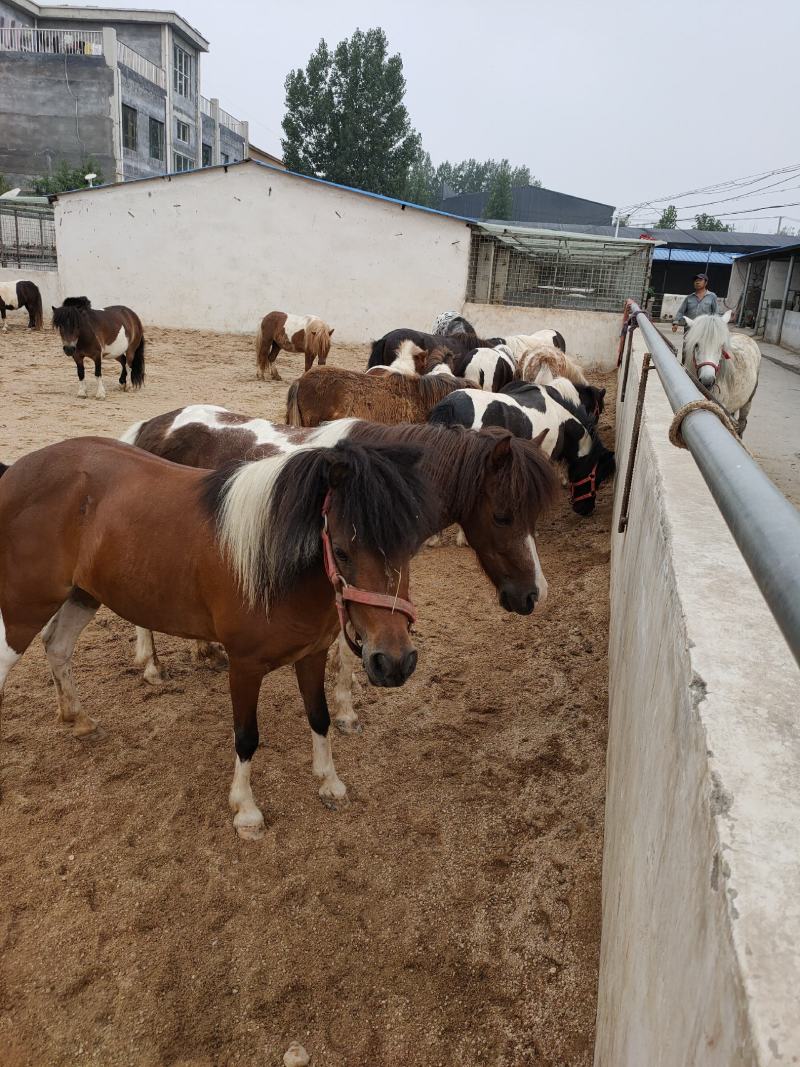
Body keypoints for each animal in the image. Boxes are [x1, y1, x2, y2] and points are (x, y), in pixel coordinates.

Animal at [0, 434, 436, 839]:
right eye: (342, 551)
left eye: (408, 548)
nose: (394, 662)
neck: (270, 564)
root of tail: (14, 473)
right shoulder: (244, 665)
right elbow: (246, 737)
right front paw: (246, 811)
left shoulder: (311, 654)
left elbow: (319, 717)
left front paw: (330, 783)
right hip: (23, 605)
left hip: (83, 593)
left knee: (57, 645)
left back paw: (79, 720)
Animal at [121, 405, 558, 732]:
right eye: (502, 516)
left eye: (535, 515)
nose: (533, 594)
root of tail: (151, 426)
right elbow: (348, 650)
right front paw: (347, 712)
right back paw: (152, 666)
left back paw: (205, 650)